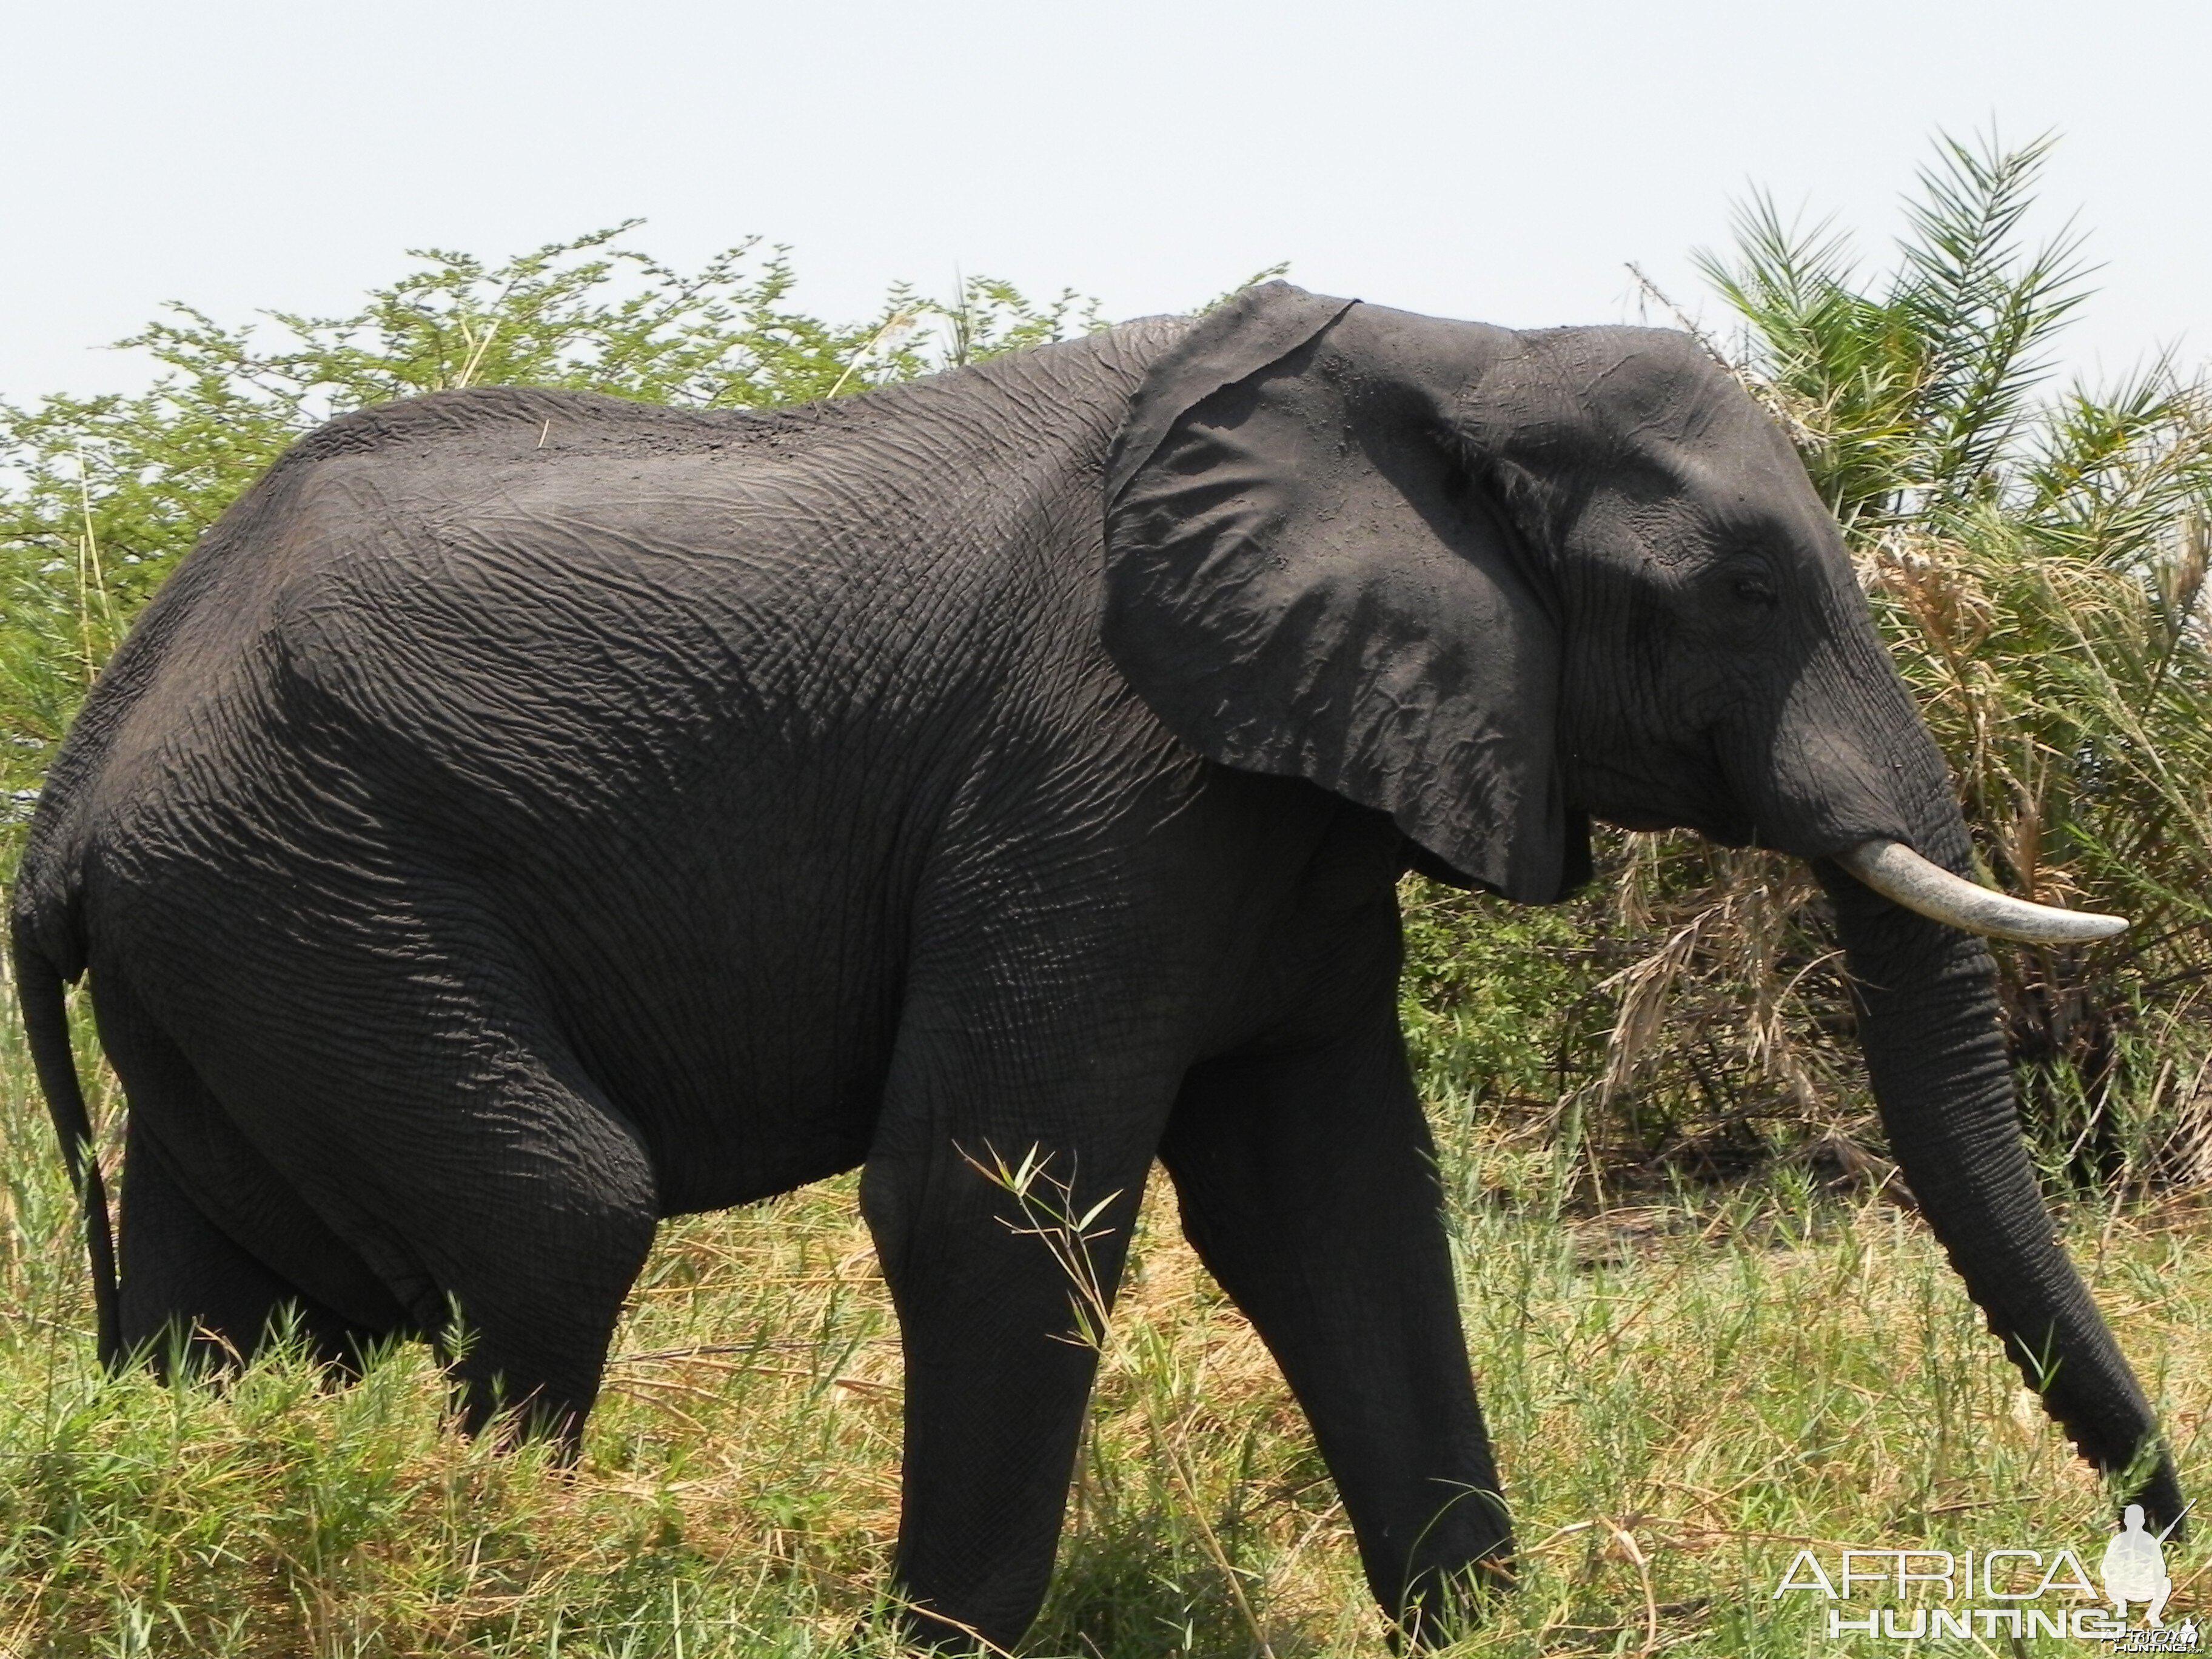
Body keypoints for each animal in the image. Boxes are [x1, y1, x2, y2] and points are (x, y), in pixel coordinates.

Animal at [17, 283, 2185, 1654]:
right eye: (1740, 587)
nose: (2152, 1549)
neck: (1437, 347)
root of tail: (85, 772)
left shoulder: (1283, 793)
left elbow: (1335, 1212)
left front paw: (1482, 1628)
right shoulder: (1090, 769)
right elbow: (999, 1196)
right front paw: (939, 1647)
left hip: (252, 926)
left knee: (224, 1287)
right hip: (312, 877)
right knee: (553, 1212)